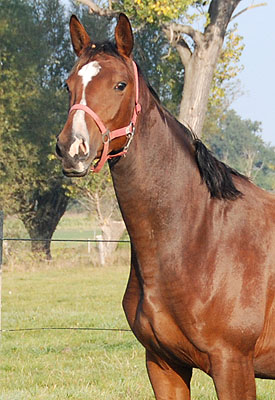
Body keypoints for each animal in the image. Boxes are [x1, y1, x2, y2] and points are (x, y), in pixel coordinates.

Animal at [56, 13, 275, 400]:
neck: (198, 238)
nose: (72, 148)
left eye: (120, 85)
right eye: (69, 85)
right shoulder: (163, 364)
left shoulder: (233, 365)